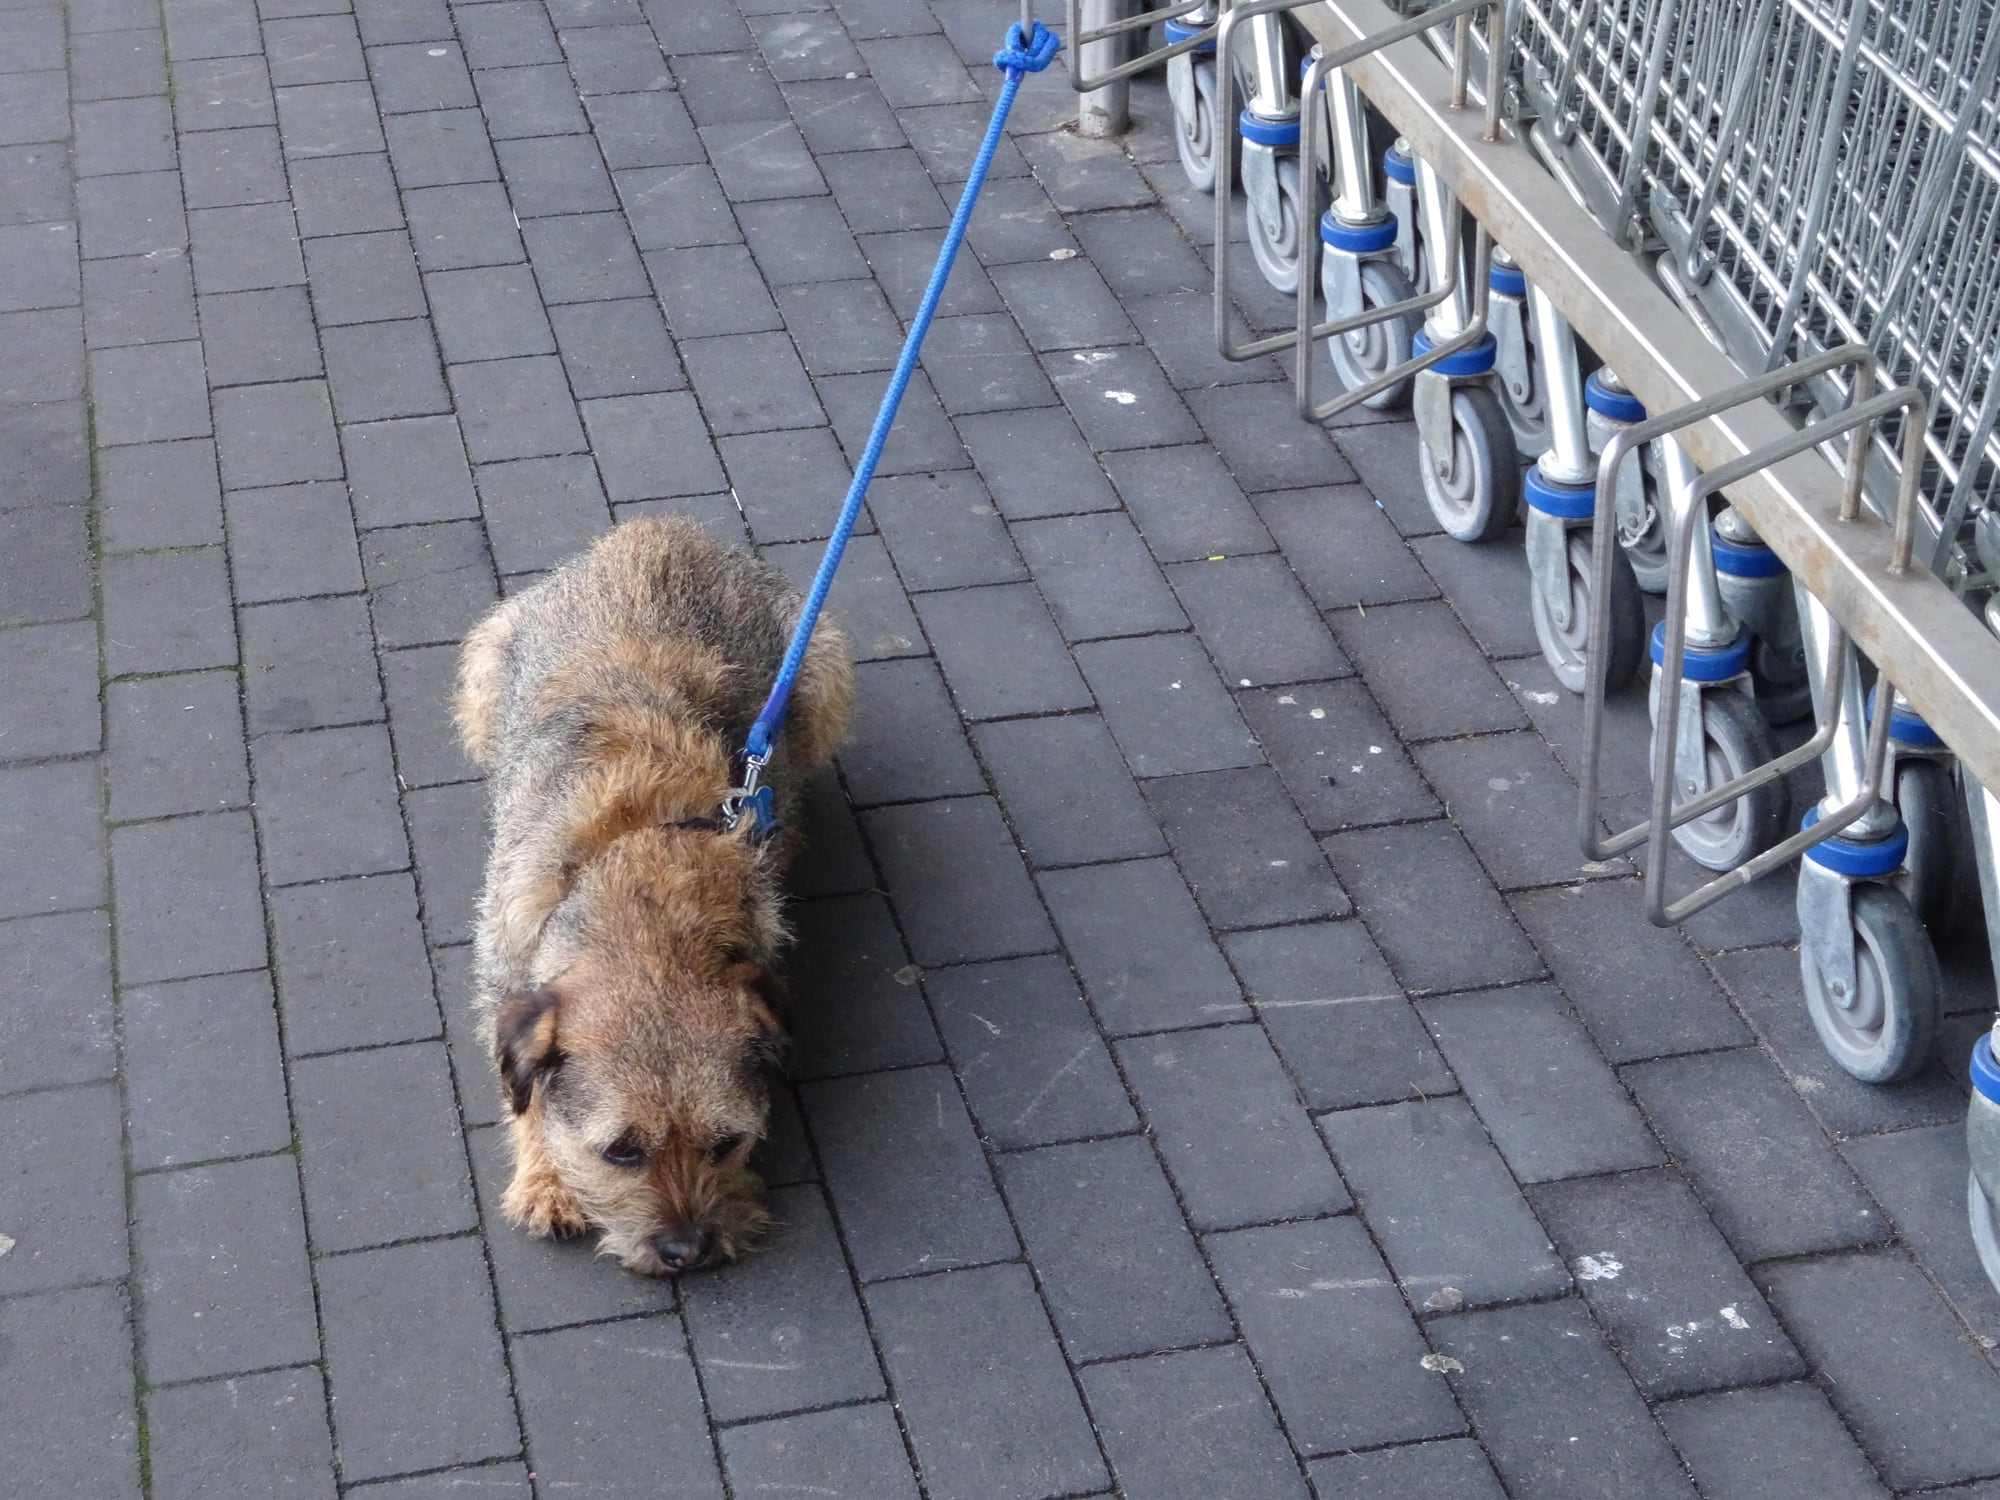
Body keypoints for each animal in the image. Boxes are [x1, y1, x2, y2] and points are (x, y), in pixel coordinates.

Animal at [454, 520, 852, 1280]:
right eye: (621, 1152)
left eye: (726, 1142)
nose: (688, 1251)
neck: (638, 876)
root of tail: (658, 527)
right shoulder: (504, 968)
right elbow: (524, 1094)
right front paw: (545, 1178)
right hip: (486, 664)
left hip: (820, 665)